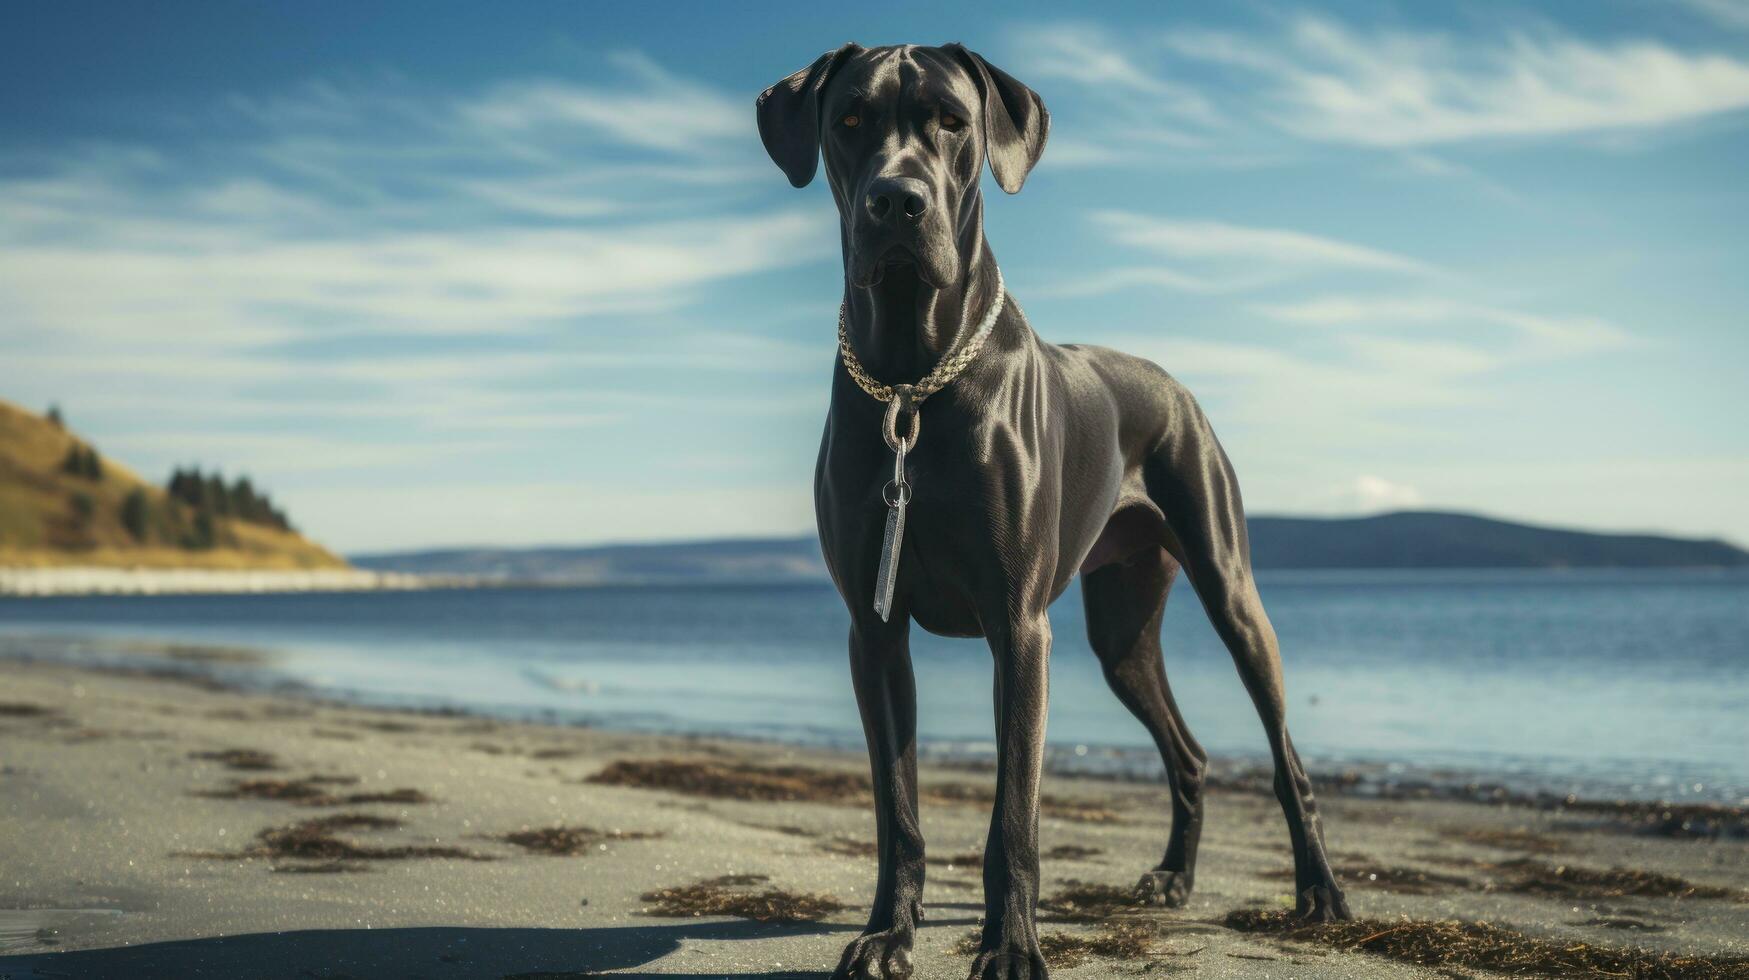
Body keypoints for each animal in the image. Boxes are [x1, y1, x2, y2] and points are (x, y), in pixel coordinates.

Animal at [755, 43, 1350, 980]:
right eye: (849, 120)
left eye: (951, 121)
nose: (896, 200)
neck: (913, 380)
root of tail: (1168, 381)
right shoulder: (873, 630)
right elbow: (897, 812)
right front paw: (888, 934)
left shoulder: (1017, 626)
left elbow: (1014, 821)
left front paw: (1010, 947)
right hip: (1121, 630)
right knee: (1187, 752)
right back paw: (1172, 878)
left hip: (1228, 587)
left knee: (1285, 755)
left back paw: (1319, 891)